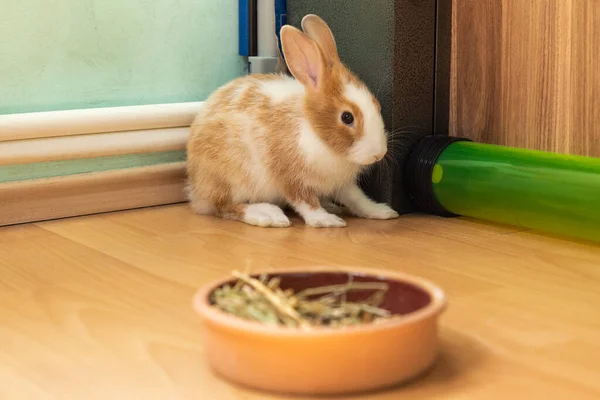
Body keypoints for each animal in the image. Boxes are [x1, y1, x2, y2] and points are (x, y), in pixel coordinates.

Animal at [183, 13, 398, 228]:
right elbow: (304, 202)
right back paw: (268, 214)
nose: (378, 154)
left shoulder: (342, 183)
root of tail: (197, 192)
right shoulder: (290, 178)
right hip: (231, 180)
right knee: (225, 207)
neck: (315, 132)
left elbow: (357, 198)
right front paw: (325, 220)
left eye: (377, 105)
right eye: (347, 117)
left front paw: (382, 211)